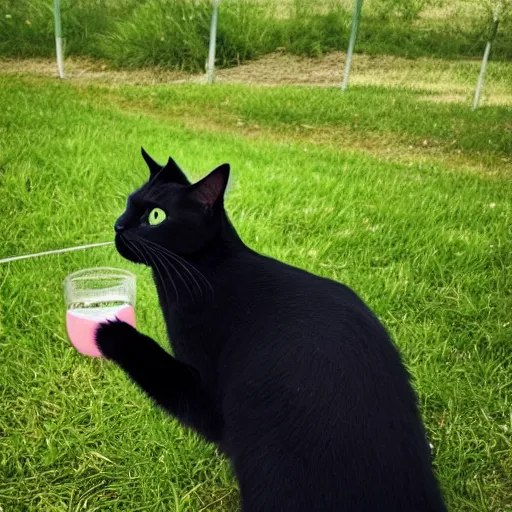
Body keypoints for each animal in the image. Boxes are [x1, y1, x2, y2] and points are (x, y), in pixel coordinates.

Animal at [96, 146, 448, 510]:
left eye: (155, 216)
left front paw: (107, 330)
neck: (206, 271)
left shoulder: (207, 400)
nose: (118, 226)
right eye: (129, 202)